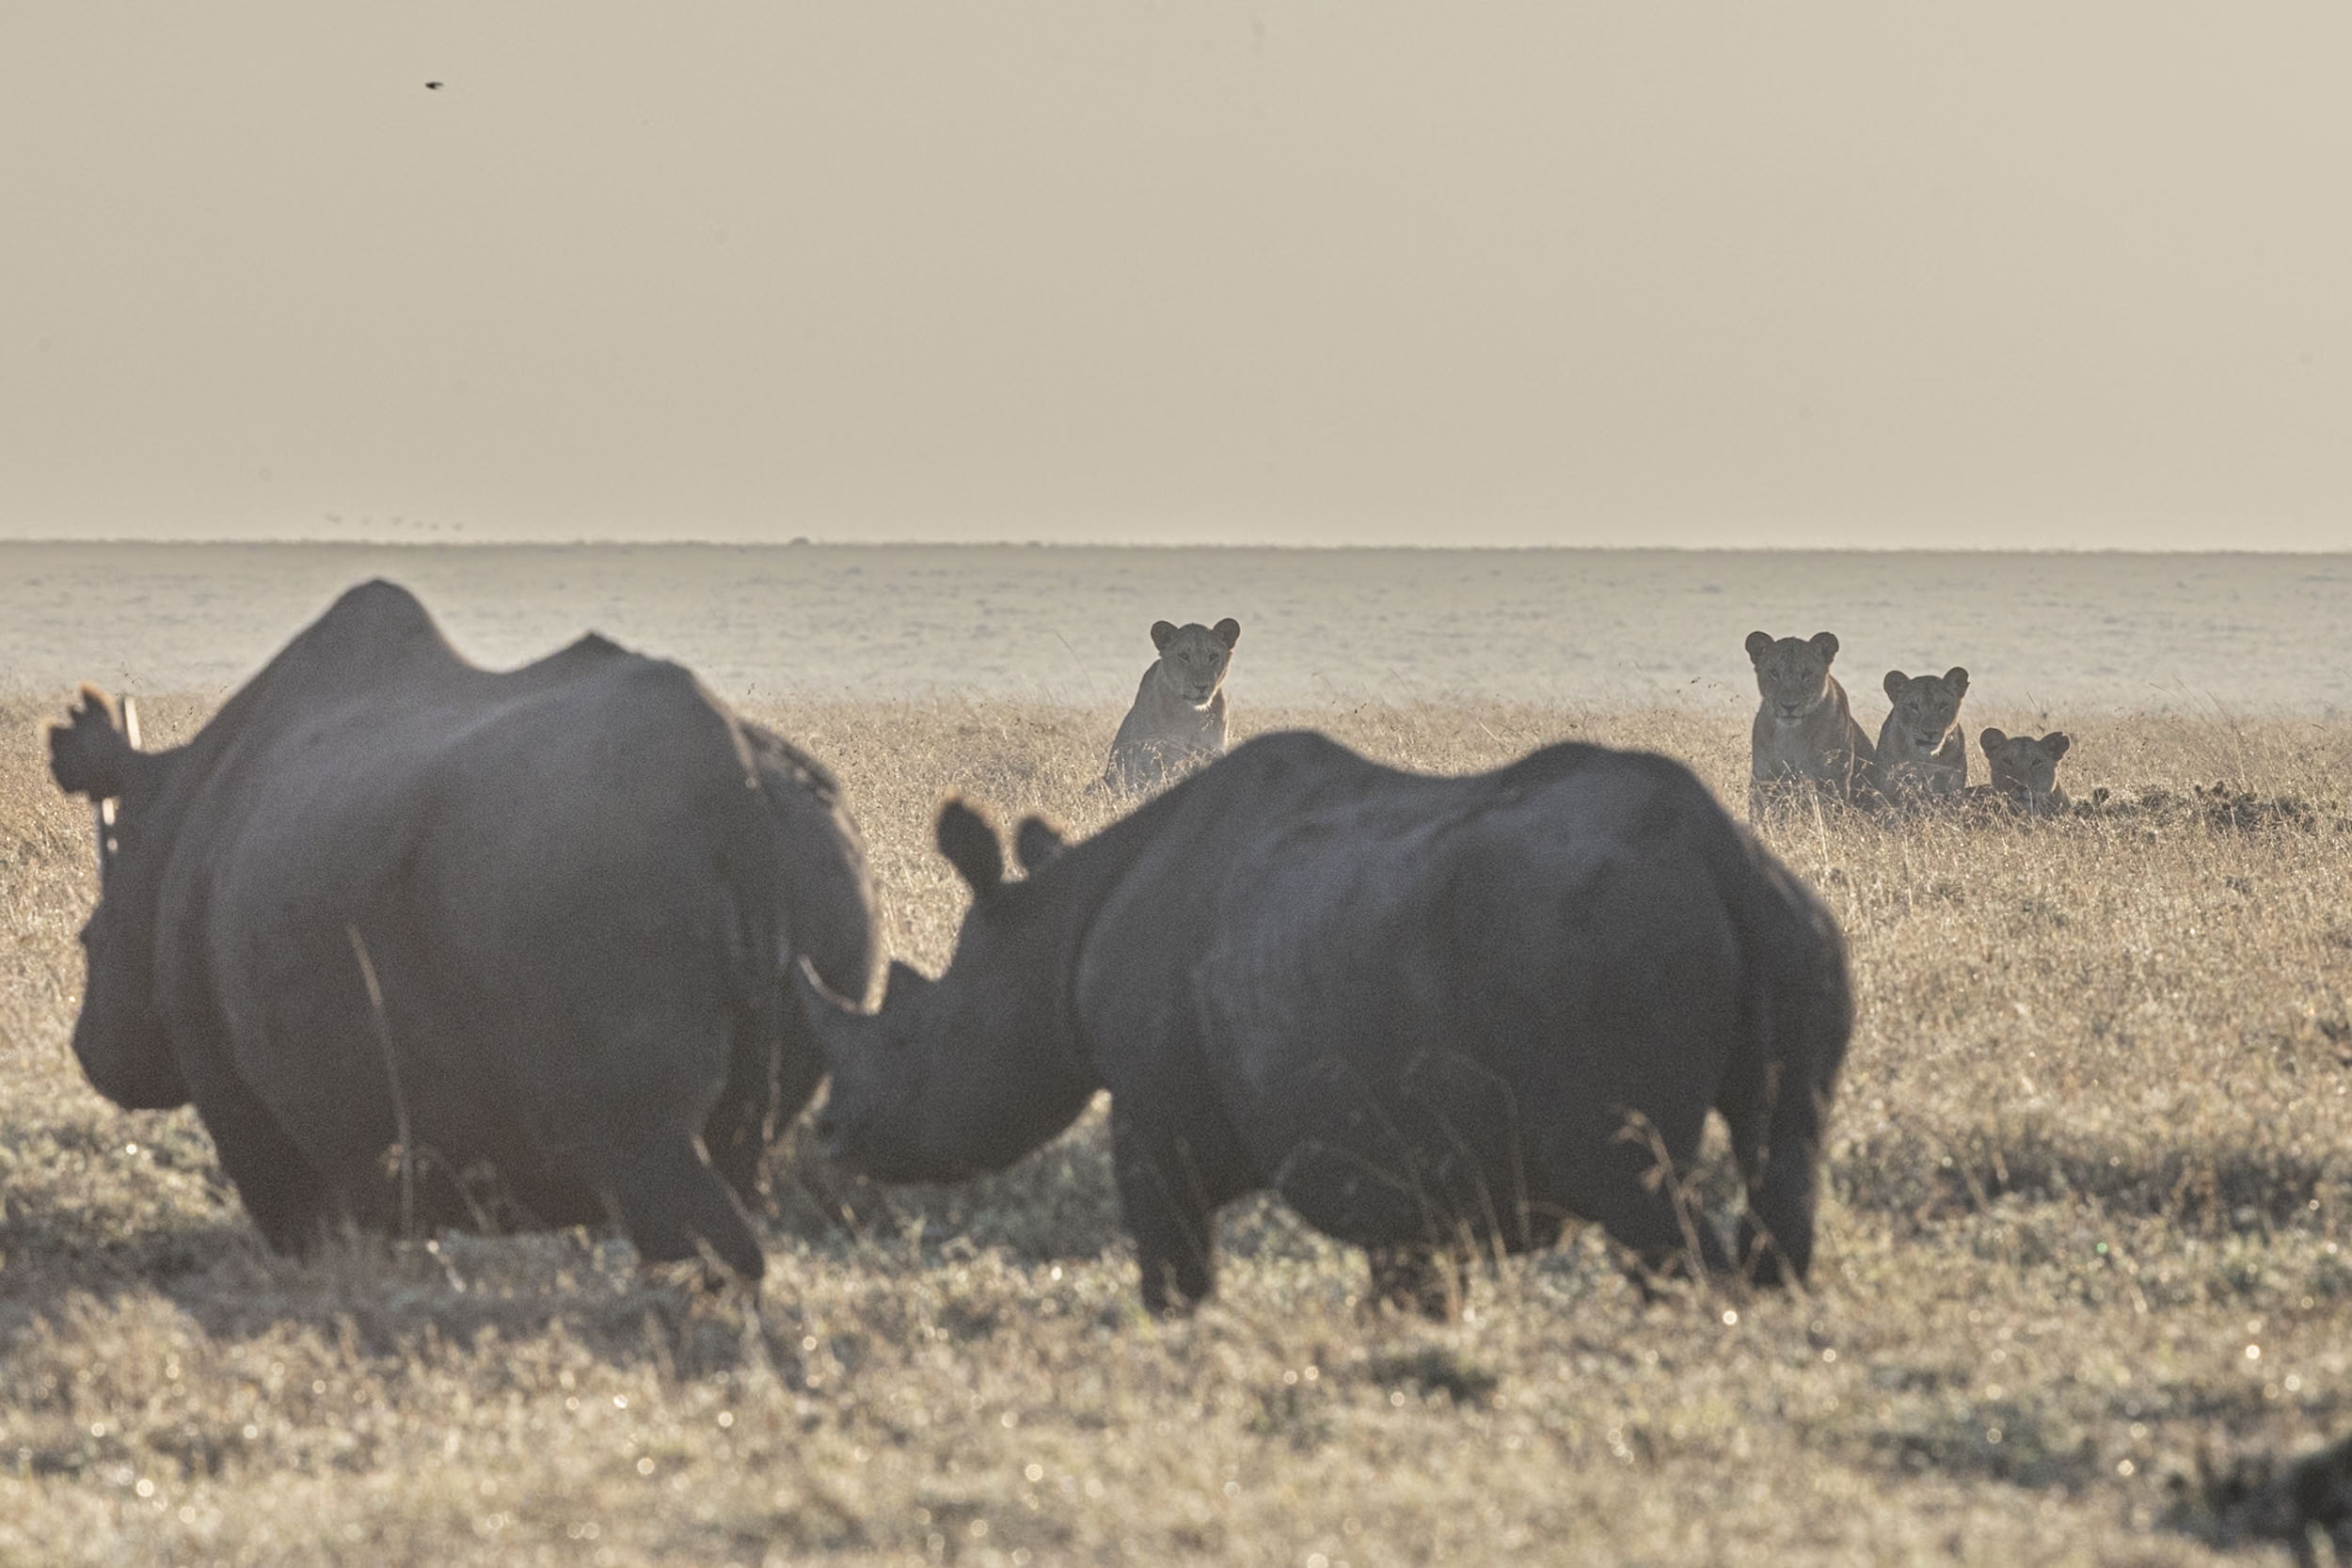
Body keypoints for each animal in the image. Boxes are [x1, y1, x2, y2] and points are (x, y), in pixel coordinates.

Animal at [46, 580, 879, 1280]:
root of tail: (733, 785)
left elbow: (298, 1220)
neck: (165, 806)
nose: (88, 1051)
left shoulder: (235, 1084)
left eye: (88, 942)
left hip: (597, 879)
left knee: (651, 1157)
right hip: (824, 851)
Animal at [801, 731, 1850, 1316]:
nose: (830, 1135)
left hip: (1600, 947)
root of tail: (1719, 853)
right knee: (1786, 1154)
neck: (1052, 931)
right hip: (1797, 930)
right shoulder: (1399, 1150)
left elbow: (1172, 1263)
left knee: (1642, 1196)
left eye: (910, 1035)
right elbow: (1411, 1285)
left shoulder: (1155, 1112)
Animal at [1104, 617, 1241, 794]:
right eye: (1183, 656)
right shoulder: (1155, 756)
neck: (1192, 715)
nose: (1201, 686)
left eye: (1213, 656)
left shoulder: (1211, 751)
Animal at [1745, 630, 1874, 816]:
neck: (1791, 737)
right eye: (1774, 673)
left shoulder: (1833, 780)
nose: (1789, 706)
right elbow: (1759, 812)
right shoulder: (1763, 778)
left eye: (1806, 674)